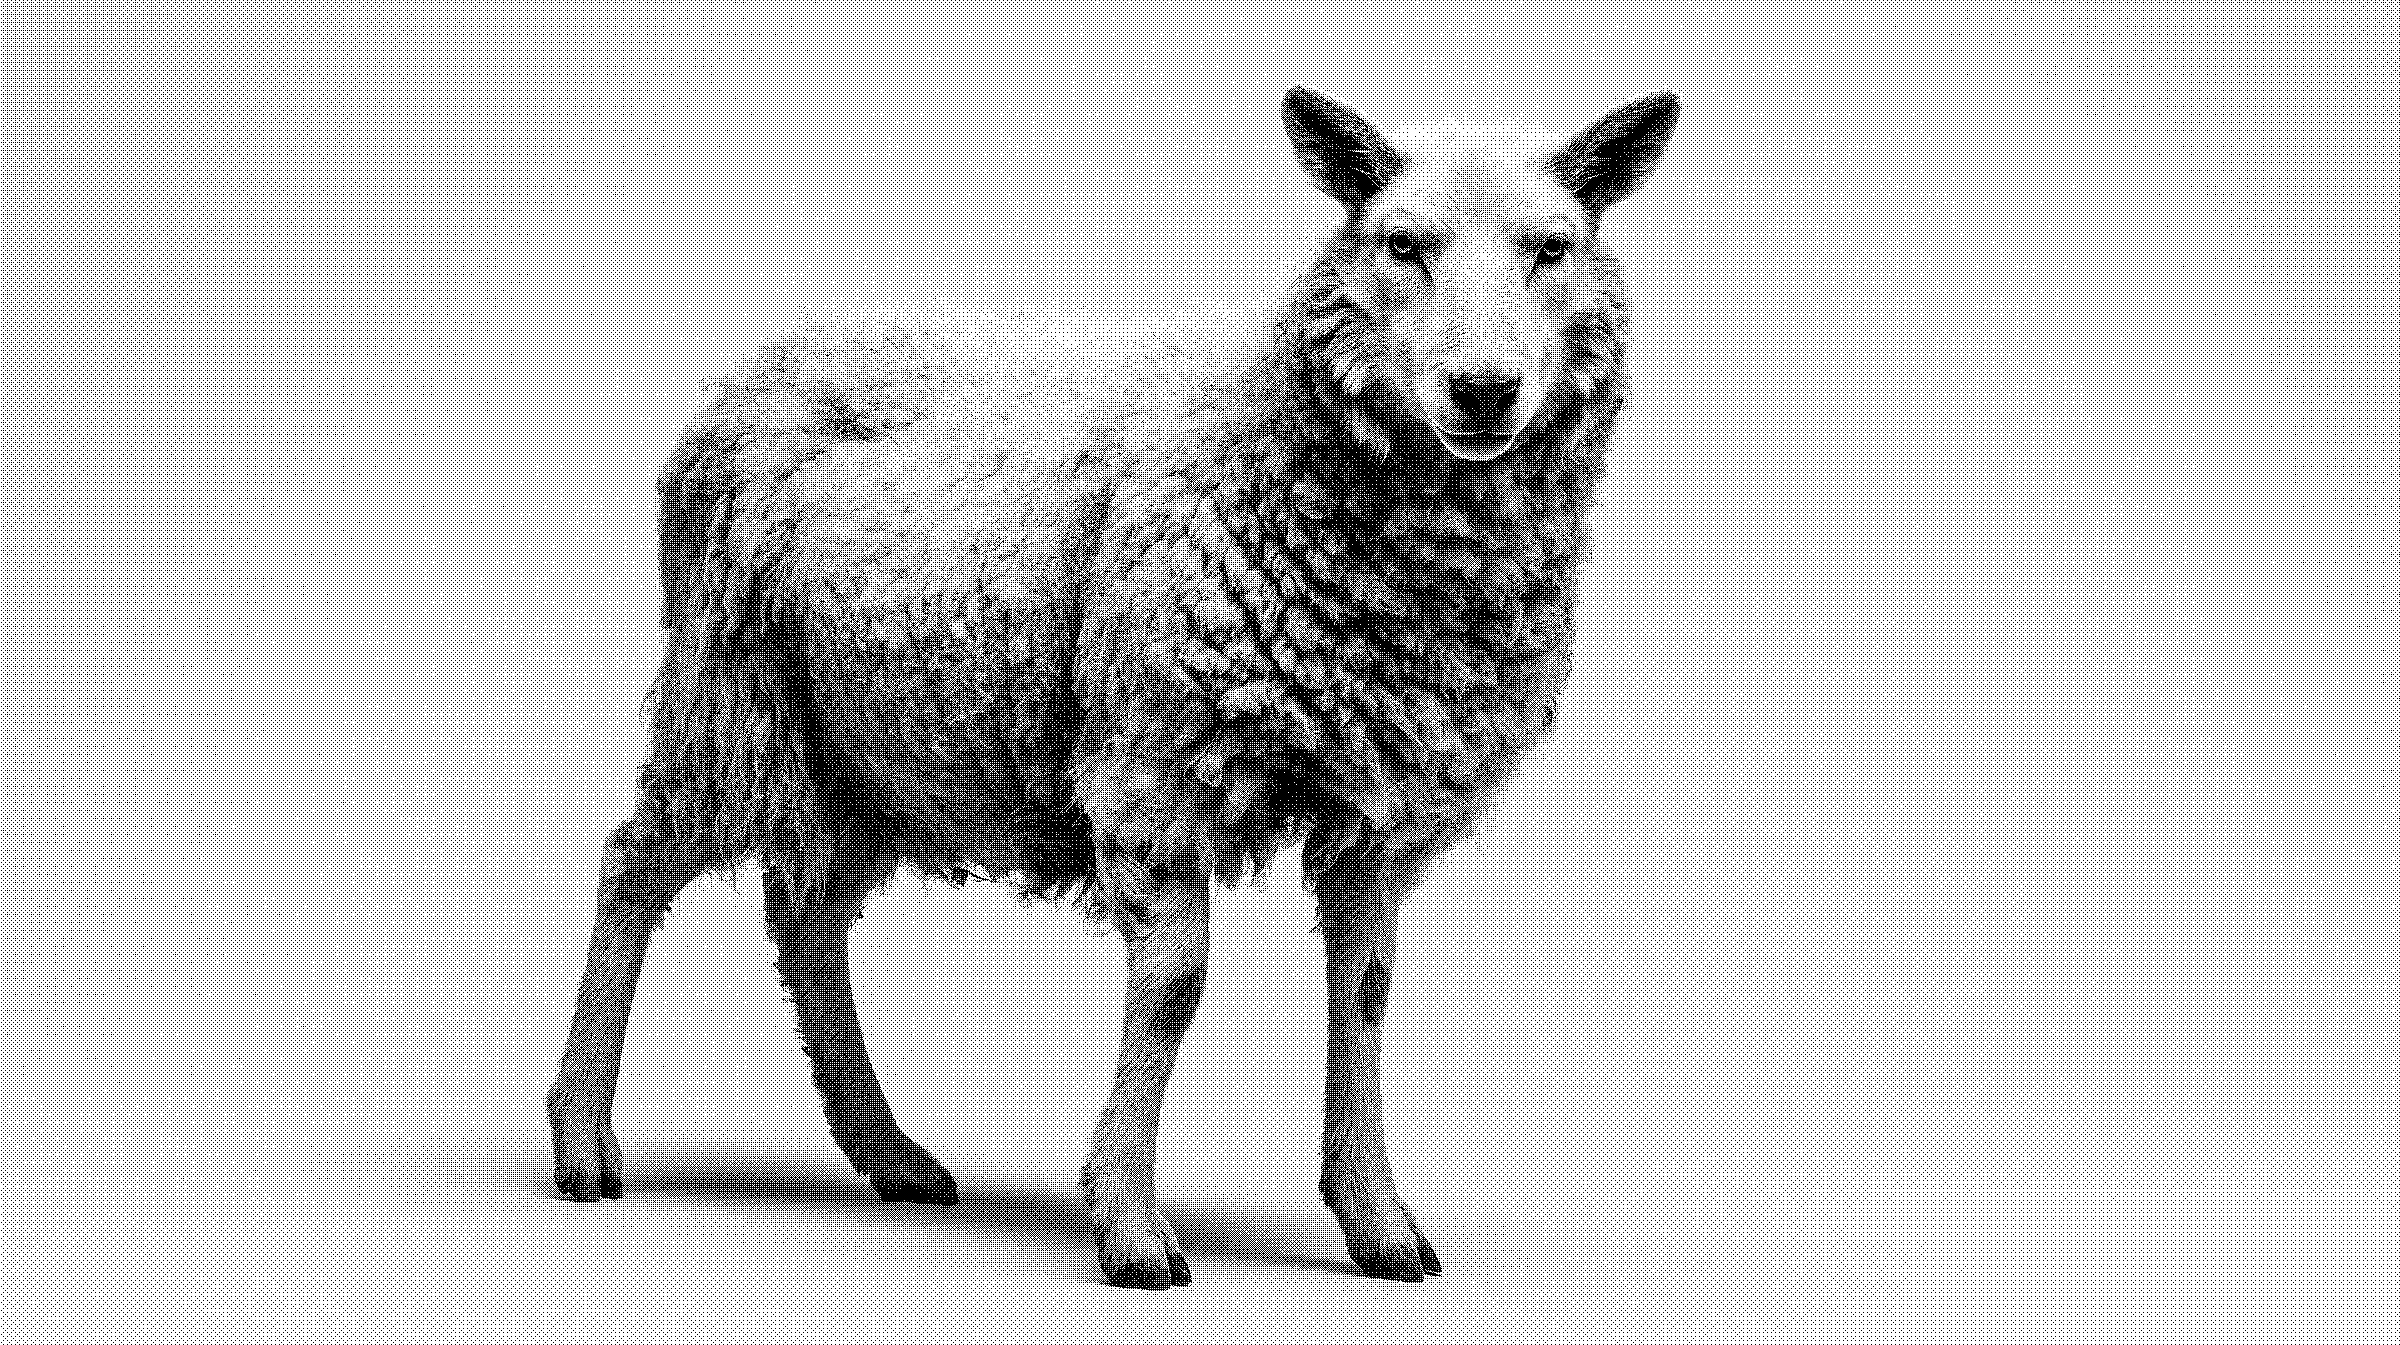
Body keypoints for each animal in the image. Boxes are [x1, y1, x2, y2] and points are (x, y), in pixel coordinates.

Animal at [548, 86, 1680, 1288]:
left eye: (1551, 247)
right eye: (1403, 244)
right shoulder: (1154, 761)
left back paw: (887, 1150)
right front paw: (1131, 1222)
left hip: (869, 740)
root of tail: (767, 356)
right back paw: (582, 1134)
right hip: (729, 687)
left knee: (807, 921)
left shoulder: (1383, 800)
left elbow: (1367, 994)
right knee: (636, 864)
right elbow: (1176, 989)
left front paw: (1377, 1217)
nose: (1483, 390)